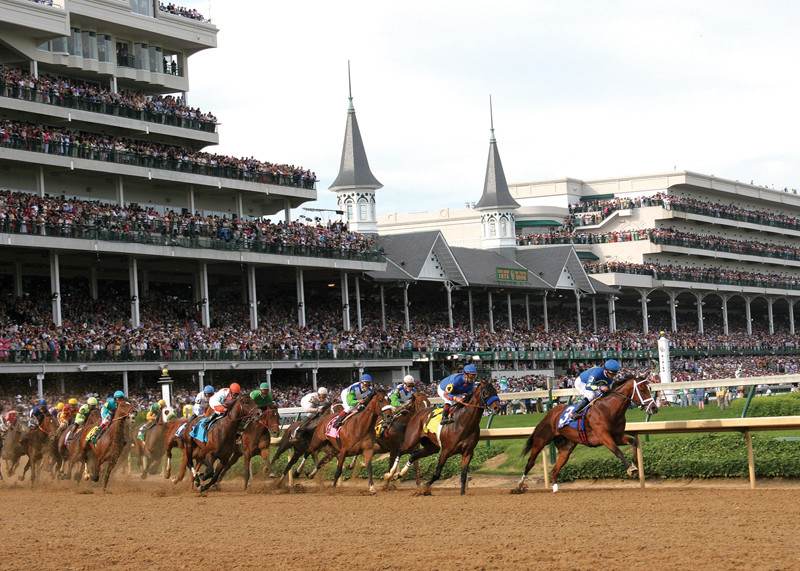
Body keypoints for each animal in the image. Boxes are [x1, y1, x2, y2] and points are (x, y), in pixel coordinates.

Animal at [512, 374, 656, 494]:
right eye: (642, 389)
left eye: (649, 388)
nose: (654, 408)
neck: (609, 409)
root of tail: (551, 413)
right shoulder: (604, 437)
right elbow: (617, 451)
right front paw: (631, 469)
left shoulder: (617, 436)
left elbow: (633, 441)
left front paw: (635, 463)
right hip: (541, 440)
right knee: (530, 462)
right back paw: (519, 486)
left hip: (566, 448)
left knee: (555, 469)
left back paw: (555, 488)